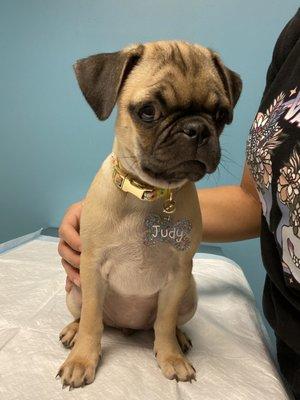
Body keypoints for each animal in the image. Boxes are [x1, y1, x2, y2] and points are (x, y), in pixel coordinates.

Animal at [56, 42, 241, 390]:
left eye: (221, 115)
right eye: (148, 112)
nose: (197, 129)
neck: (149, 194)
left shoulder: (178, 275)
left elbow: (164, 323)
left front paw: (171, 356)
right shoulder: (91, 269)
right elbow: (92, 322)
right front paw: (82, 359)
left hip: (189, 293)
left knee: (163, 324)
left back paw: (180, 339)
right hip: (75, 290)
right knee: (86, 316)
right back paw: (73, 331)